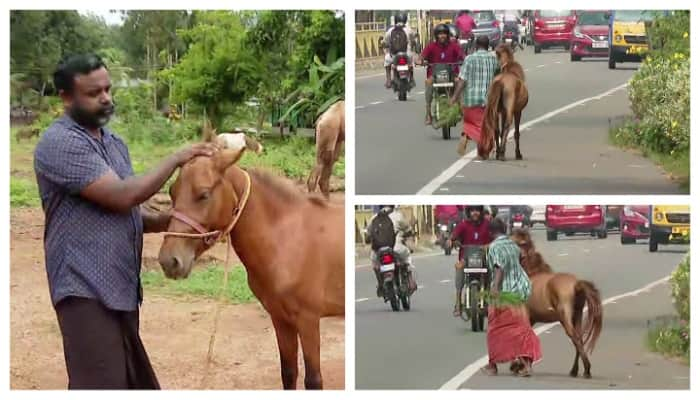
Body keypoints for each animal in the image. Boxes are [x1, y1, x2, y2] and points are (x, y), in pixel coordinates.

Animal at [158, 129, 344, 390]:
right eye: (172, 192)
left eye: (203, 194)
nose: (170, 261)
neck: (289, 239)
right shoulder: (281, 319)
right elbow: (288, 373)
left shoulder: (308, 321)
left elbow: (313, 380)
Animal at [508, 228, 600, 378]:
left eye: (521, 243)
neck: (531, 274)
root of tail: (576, 284)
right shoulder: (532, 319)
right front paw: (521, 365)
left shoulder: (525, 316)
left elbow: (523, 337)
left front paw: (521, 366)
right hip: (577, 314)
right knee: (579, 338)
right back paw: (575, 370)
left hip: (565, 317)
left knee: (575, 337)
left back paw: (586, 369)